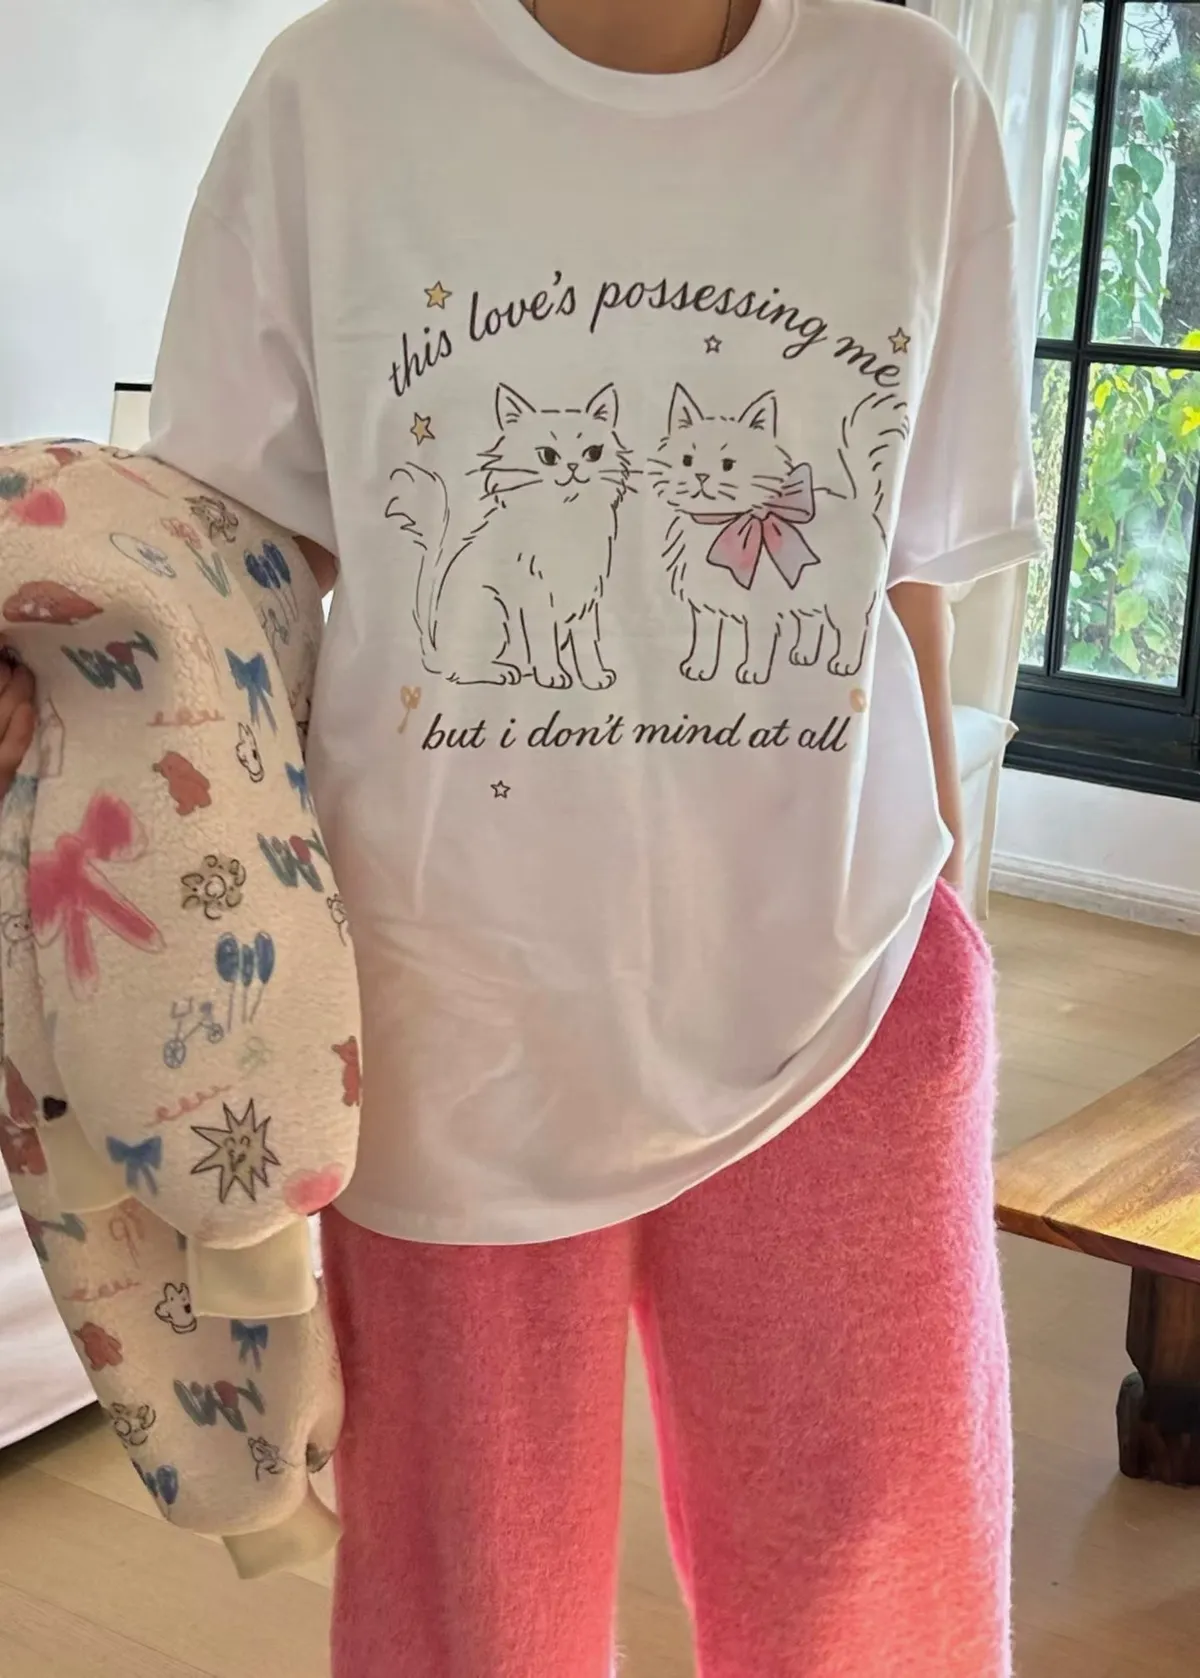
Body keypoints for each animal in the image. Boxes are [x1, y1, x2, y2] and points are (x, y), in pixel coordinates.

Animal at [388, 384, 631, 689]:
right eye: (549, 456)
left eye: (594, 453)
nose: (574, 466)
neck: (565, 517)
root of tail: (436, 652)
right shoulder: (536, 596)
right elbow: (544, 640)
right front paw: (552, 675)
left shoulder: (586, 594)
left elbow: (589, 641)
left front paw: (593, 677)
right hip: (492, 608)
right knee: (462, 669)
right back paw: (503, 671)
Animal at [650, 385, 906, 684]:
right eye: (687, 460)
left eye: (728, 464)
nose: (701, 476)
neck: (720, 525)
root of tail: (859, 502)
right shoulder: (704, 607)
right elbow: (704, 641)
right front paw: (700, 668)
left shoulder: (761, 606)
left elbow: (758, 643)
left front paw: (753, 671)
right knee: (813, 623)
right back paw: (803, 655)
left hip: (843, 595)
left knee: (854, 628)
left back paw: (844, 663)